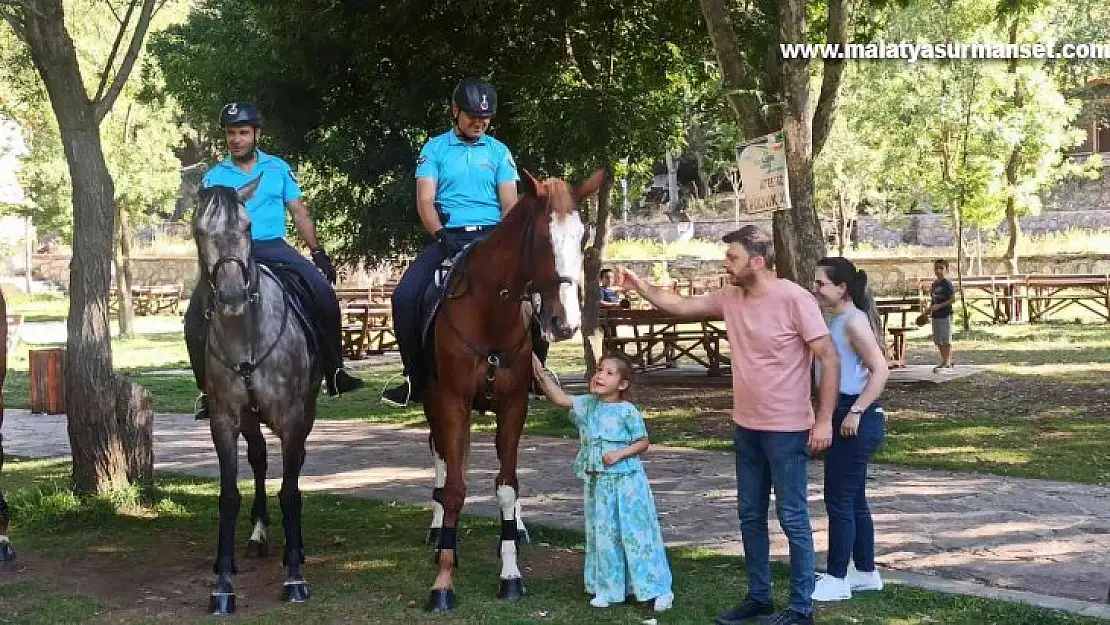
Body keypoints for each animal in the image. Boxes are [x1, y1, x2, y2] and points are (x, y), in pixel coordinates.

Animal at [190, 178, 319, 612]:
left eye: (247, 228)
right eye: (199, 232)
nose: (231, 296)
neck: (246, 337)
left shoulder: (292, 418)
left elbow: (291, 493)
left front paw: (295, 578)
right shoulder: (225, 420)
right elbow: (229, 496)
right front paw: (223, 587)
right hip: (249, 419)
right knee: (260, 460)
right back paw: (255, 538)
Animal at [419, 167, 603, 612]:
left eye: (582, 237)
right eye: (540, 238)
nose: (564, 323)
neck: (491, 313)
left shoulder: (513, 405)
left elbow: (507, 487)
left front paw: (511, 574)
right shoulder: (451, 403)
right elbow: (454, 489)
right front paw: (443, 580)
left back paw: (515, 529)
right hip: (435, 404)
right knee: (442, 459)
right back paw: (439, 531)